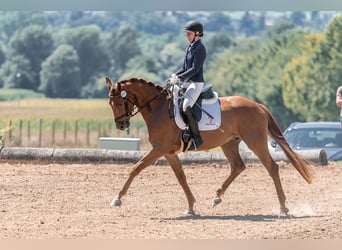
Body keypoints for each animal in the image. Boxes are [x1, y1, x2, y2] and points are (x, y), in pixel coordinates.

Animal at [105, 76, 316, 215]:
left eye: (120, 102)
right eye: (110, 103)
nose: (121, 125)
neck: (159, 109)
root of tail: (258, 105)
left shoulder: (159, 149)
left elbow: (136, 168)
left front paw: (117, 198)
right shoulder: (169, 152)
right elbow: (181, 177)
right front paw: (191, 206)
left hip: (255, 141)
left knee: (272, 167)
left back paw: (283, 207)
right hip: (229, 143)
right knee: (238, 166)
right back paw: (217, 197)